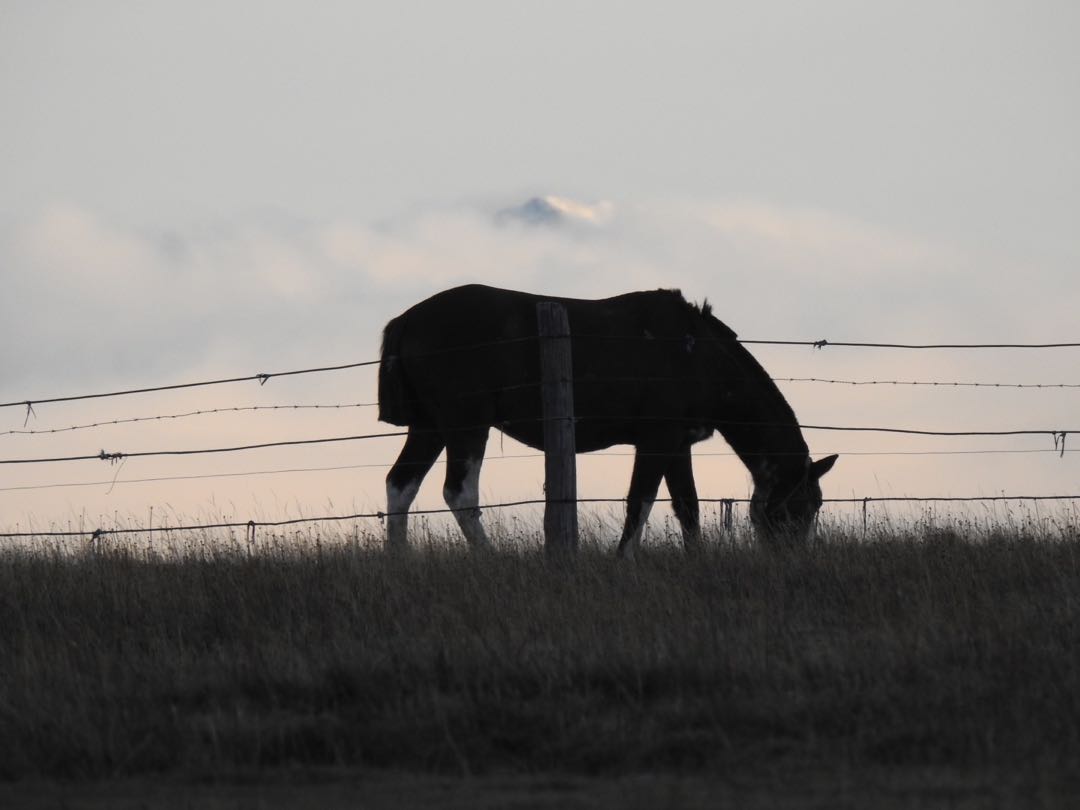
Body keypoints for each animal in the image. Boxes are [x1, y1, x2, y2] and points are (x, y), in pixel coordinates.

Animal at [377, 284, 836, 557]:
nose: (798, 558)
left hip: (430, 426)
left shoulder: (677, 443)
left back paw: (398, 559)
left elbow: (687, 506)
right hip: (467, 423)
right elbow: (641, 500)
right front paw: (624, 559)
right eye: (803, 505)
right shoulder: (656, 437)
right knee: (459, 491)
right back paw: (490, 558)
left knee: (401, 483)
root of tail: (407, 320)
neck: (698, 353)